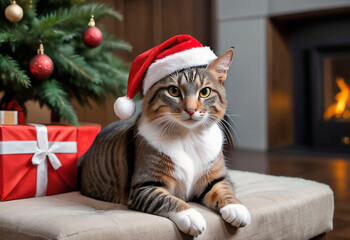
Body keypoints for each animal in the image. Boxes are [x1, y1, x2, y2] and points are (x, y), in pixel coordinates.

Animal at [80, 47, 249, 236]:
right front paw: (191, 215)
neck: (188, 136)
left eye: (205, 92)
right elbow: (167, 200)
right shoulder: (144, 186)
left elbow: (224, 189)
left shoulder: (217, 177)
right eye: (174, 91)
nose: (191, 110)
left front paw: (236, 208)